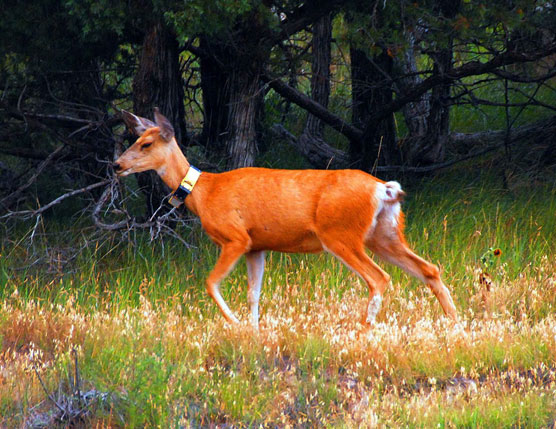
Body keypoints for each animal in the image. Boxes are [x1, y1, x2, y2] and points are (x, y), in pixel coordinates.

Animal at [113, 108, 456, 326]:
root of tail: (382, 190)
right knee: (429, 268)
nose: (117, 165)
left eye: (146, 143)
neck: (204, 192)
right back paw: (456, 324)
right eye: (133, 139)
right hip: (383, 234)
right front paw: (253, 331)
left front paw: (235, 324)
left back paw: (364, 329)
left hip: (340, 234)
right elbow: (253, 294)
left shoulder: (236, 237)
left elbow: (211, 283)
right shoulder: (257, 247)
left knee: (379, 277)